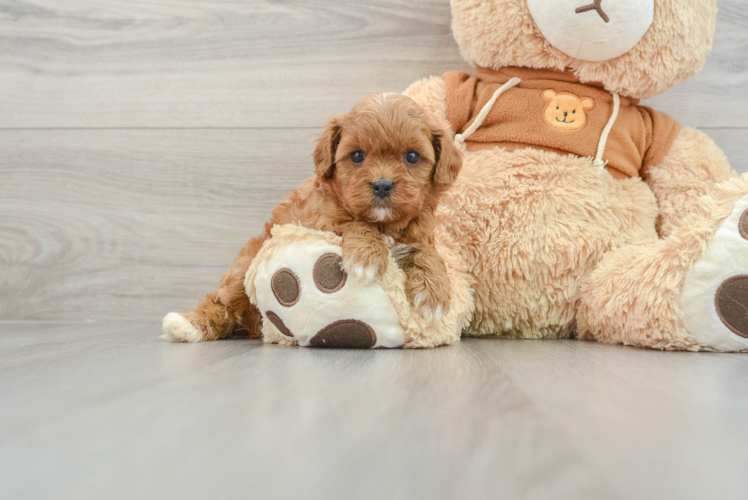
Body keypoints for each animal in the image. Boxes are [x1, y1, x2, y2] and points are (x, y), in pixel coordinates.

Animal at [164, 92, 462, 342]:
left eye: (412, 156)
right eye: (357, 156)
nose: (382, 185)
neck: (384, 223)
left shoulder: (420, 233)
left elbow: (428, 253)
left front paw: (433, 293)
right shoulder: (319, 221)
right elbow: (355, 223)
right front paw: (366, 257)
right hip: (246, 263)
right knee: (222, 301)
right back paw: (189, 325)